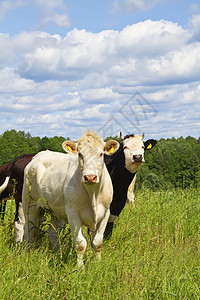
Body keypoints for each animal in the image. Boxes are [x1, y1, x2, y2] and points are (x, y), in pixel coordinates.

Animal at [20, 131, 119, 268]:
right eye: (80, 154)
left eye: (101, 154)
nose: (90, 177)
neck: (93, 194)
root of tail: (38, 155)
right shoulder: (73, 213)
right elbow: (80, 243)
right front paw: (80, 267)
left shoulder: (105, 213)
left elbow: (98, 242)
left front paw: (98, 264)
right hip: (30, 204)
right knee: (29, 230)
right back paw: (27, 254)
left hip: (56, 211)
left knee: (52, 233)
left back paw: (58, 255)